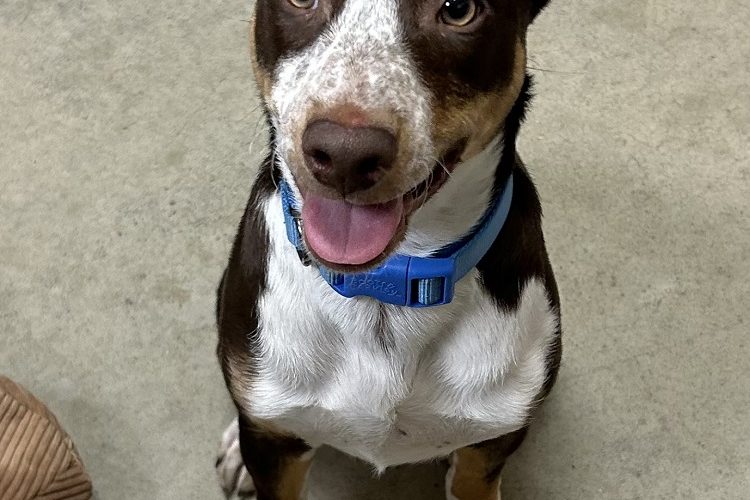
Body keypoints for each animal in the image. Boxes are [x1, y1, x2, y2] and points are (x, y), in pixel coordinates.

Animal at [215, 1, 561, 499]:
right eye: (300, 2)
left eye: (459, 10)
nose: (344, 155)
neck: (382, 290)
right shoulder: (275, 450)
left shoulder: (490, 445)